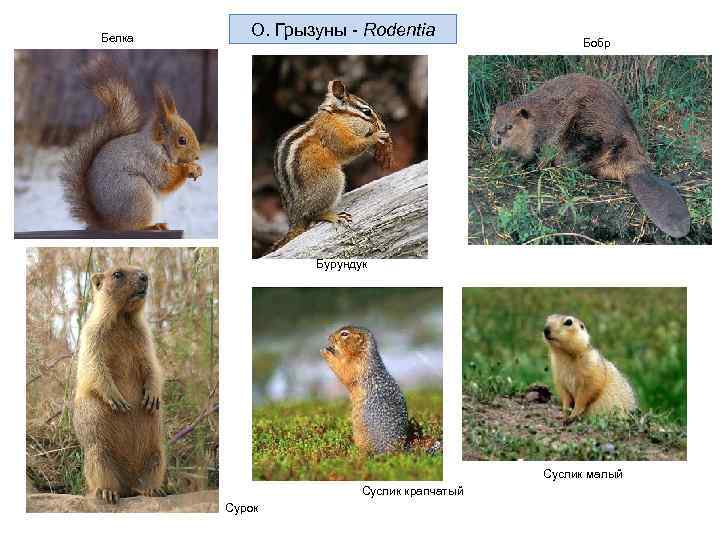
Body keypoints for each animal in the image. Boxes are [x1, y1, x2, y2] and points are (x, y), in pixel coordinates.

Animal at [60, 55, 203, 231]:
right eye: (182, 140)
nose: (197, 157)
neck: (159, 146)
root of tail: (106, 223)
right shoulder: (150, 160)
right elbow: (164, 180)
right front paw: (188, 169)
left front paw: (197, 168)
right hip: (137, 193)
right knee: (132, 226)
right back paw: (152, 226)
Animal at [72, 265, 165, 503]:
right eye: (117, 274)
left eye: (141, 270)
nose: (145, 276)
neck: (123, 319)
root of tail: (128, 485)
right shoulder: (91, 334)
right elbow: (94, 366)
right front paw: (118, 400)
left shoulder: (145, 336)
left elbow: (152, 365)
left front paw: (152, 397)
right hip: (97, 454)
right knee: (102, 478)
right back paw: (107, 493)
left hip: (158, 454)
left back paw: (151, 490)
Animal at [269, 80, 393, 253]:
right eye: (367, 112)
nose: (382, 125)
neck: (334, 117)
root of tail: (296, 218)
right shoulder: (335, 135)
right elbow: (349, 149)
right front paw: (376, 136)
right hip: (333, 180)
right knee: (313, 215)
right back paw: (333, 216)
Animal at [321, 325, 410, 454]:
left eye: (344, 334)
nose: (329, 337)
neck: (362, 352)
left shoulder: (357, 364)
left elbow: (344, 370)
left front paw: (327, 352)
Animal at [490, 74, 691, 238]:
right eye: (493, 122)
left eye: (509, 126)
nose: (495, 139)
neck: (540, 115)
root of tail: (636, 170)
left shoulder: (548, 132)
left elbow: (535, 153)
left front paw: (518, 164)